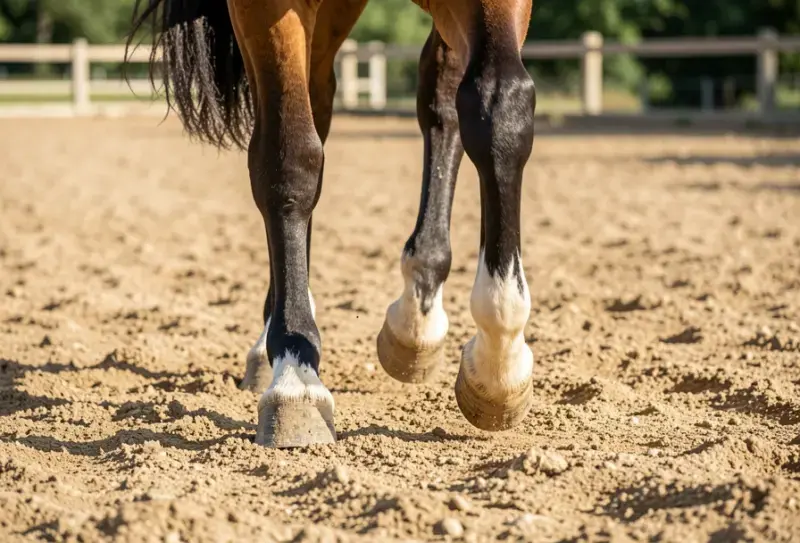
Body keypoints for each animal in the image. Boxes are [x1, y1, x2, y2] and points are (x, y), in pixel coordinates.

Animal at [128, 0, 536, 449]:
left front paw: (499, 365)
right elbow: (290, 160)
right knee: (309, 112)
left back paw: (418, 318)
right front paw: (295, 375)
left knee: (439, 93)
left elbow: (500, 104)